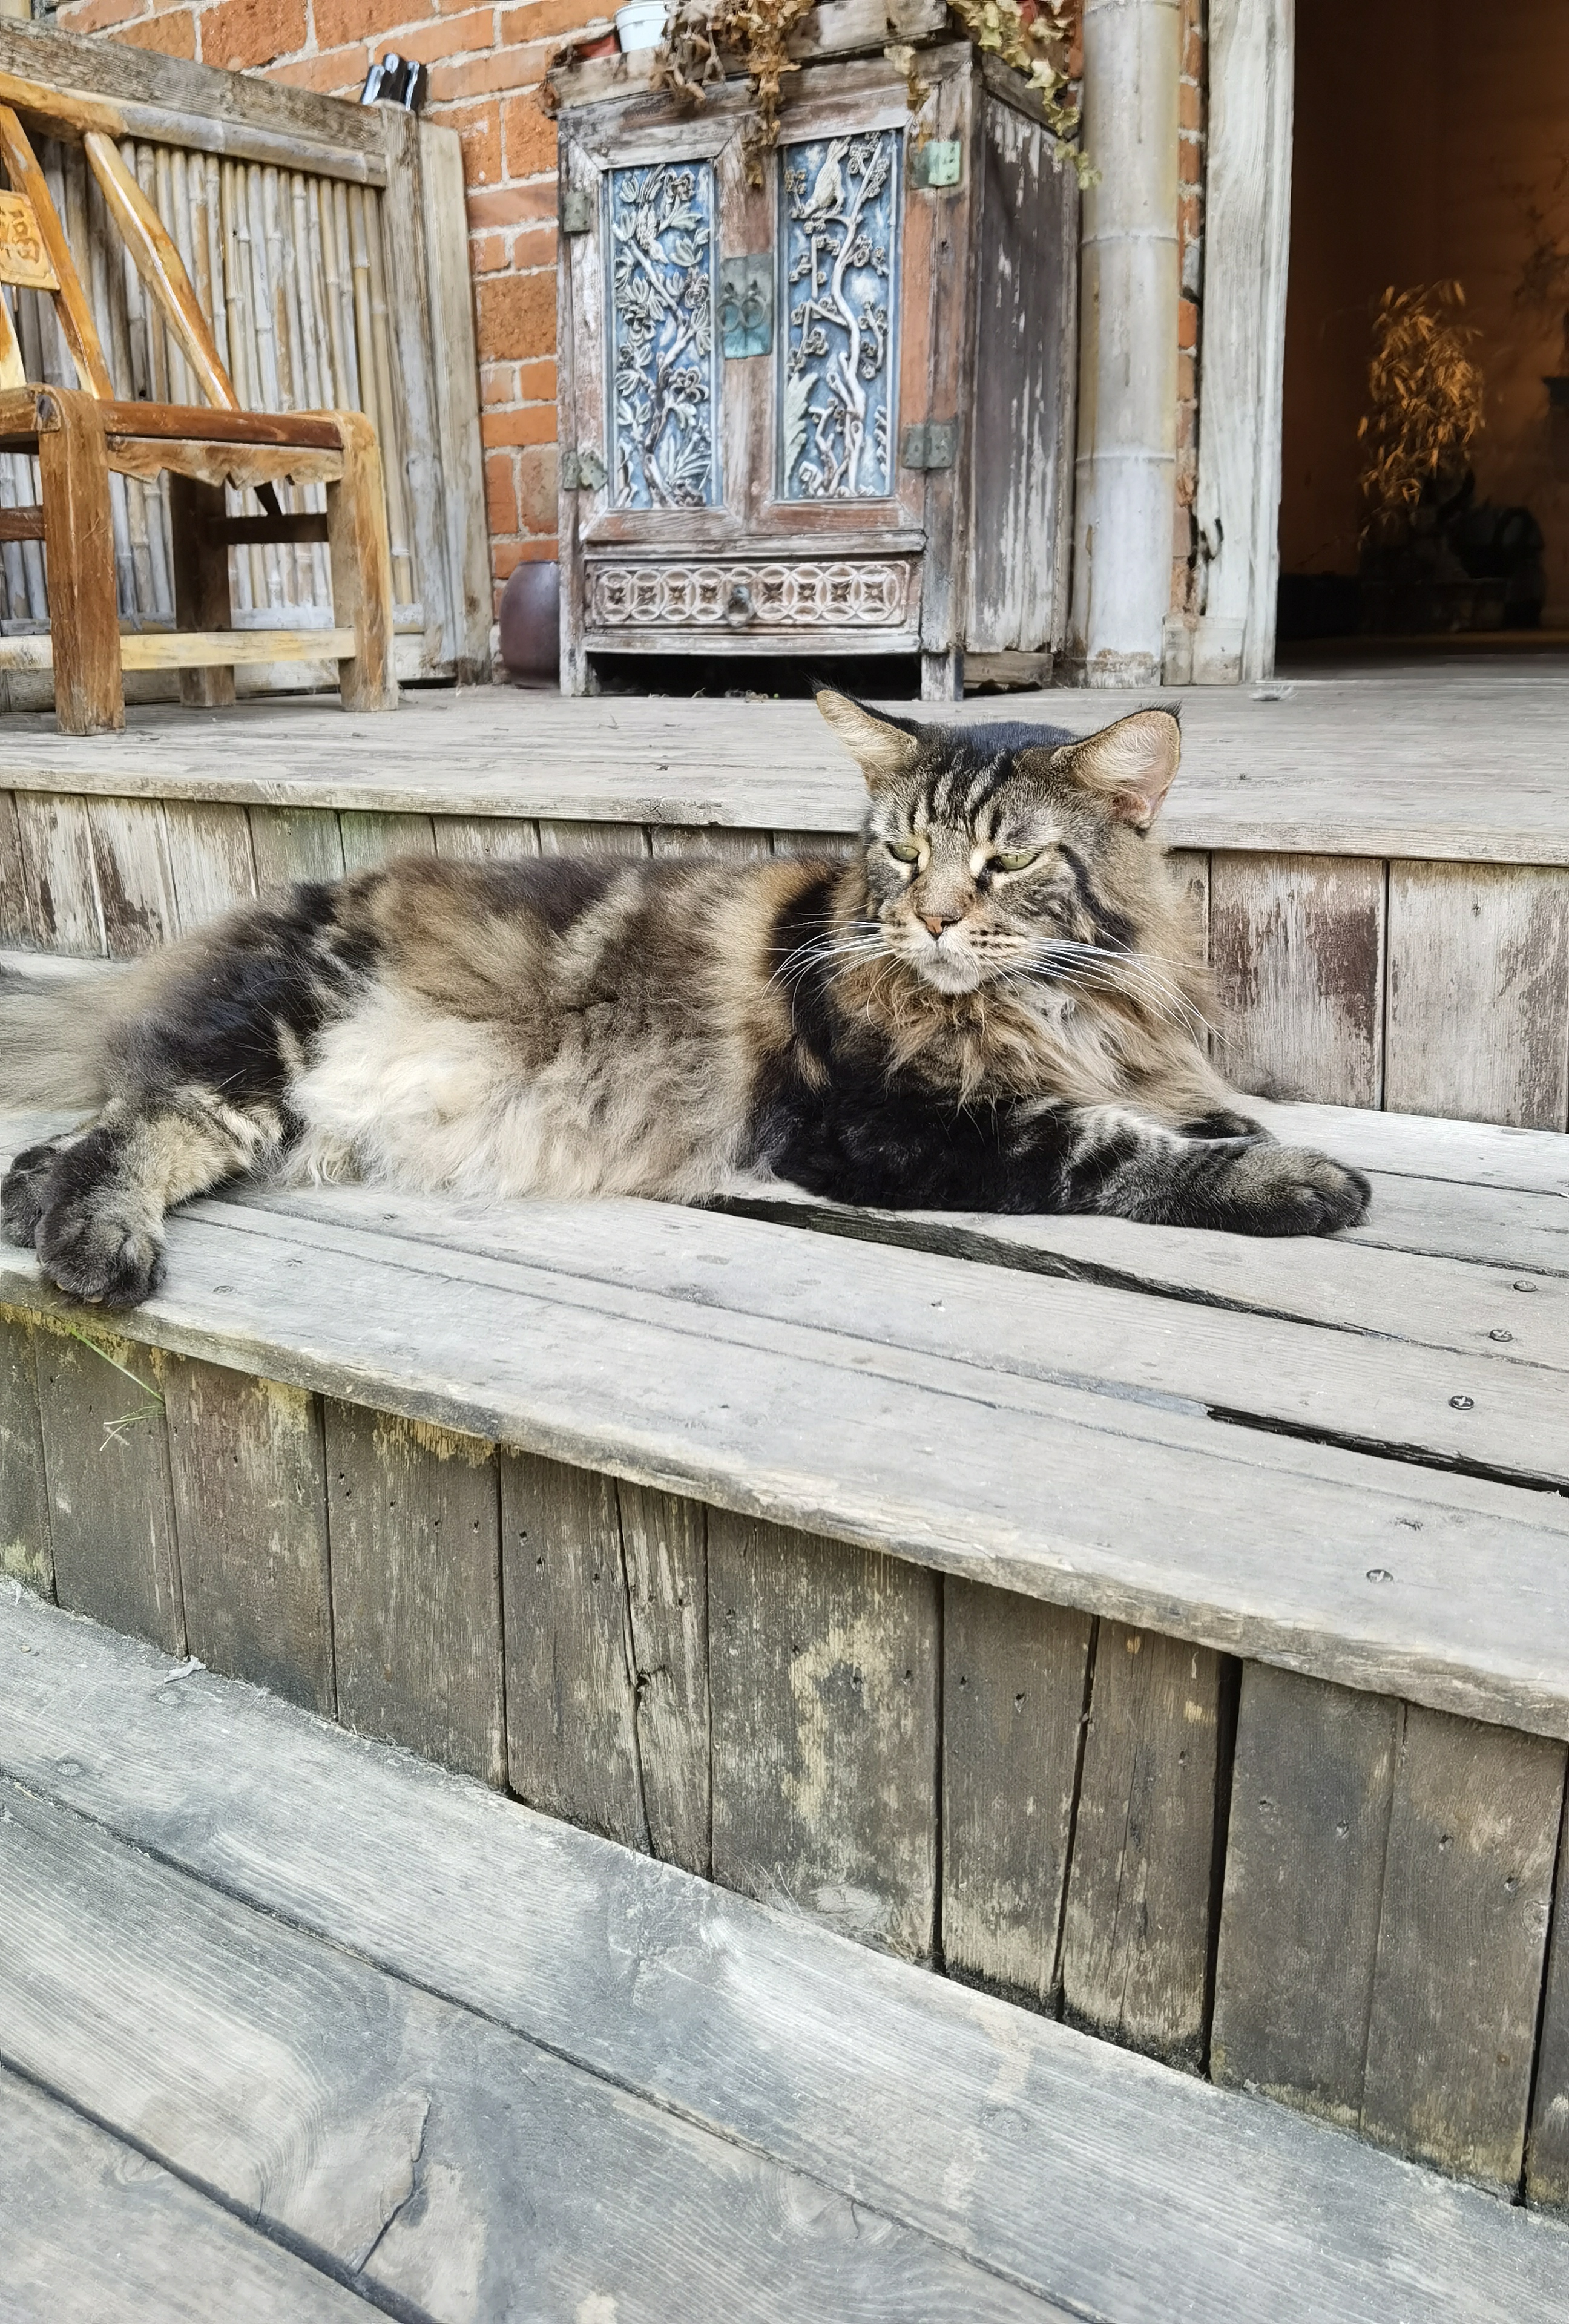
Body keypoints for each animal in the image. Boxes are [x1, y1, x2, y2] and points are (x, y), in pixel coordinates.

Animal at [0, 690, 1369, 1308]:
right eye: (902, 849)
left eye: (1008, 860)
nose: (926, 918)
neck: (1048, 1000)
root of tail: (255, 915)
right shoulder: (885, 1127)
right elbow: (1114, 1148)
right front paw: (1286, 1179)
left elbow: (1179, 1105)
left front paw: (1229, 1123)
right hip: (271, 1054)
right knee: (140, 1125)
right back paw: (91, 1243)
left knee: (106, 1123)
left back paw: (27, 1194)